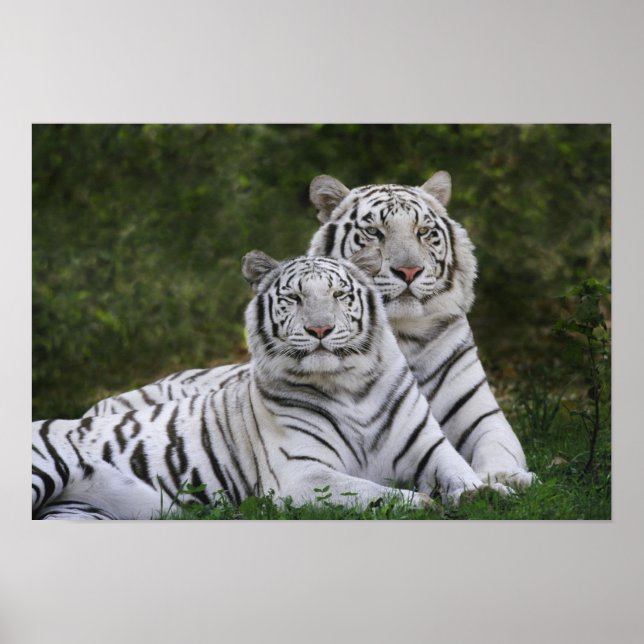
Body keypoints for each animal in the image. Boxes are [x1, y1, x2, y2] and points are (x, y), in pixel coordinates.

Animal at [34, 251, 509, 520]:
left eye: (339, 296)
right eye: (294, 298)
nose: (320, 330)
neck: (350, 386)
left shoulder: (429, 448)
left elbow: (460, 472)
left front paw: (489, 492)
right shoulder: (302, 474)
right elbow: (375, 491)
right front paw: (425, 504)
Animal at [85, 172, 535, 489]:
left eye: (424, 232)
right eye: (374, 232)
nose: (408, 271)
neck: (402, 335)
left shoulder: (482, 416)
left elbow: (498, 448)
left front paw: (508, 479)